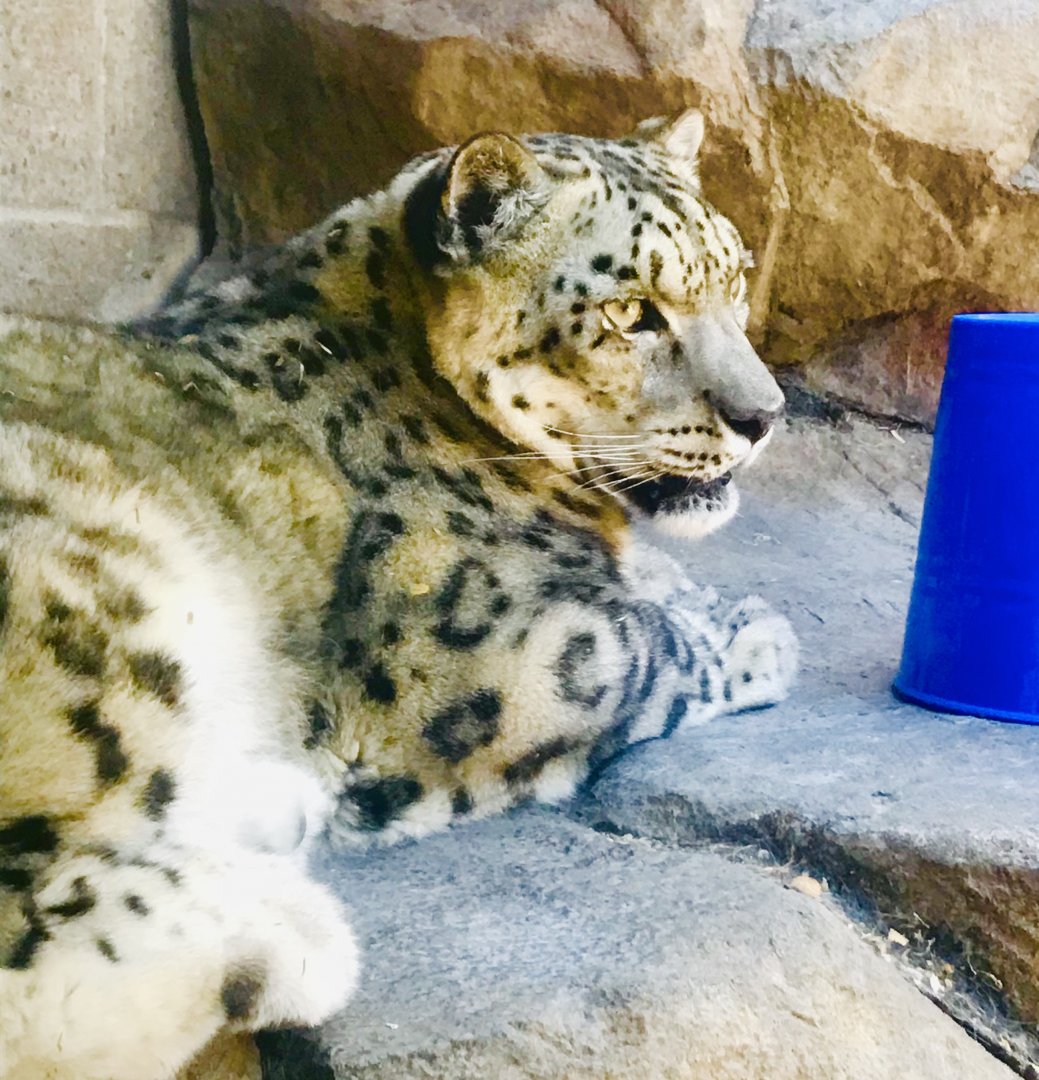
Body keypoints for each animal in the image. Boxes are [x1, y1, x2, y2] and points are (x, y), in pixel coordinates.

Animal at [0, 110, 797, 1079]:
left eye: (735, 282)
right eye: (629, 311)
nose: (763, 416)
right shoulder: (505, 662)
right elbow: (644, 650)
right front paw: (752, 630)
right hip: (107, 602)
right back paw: (289, 933)